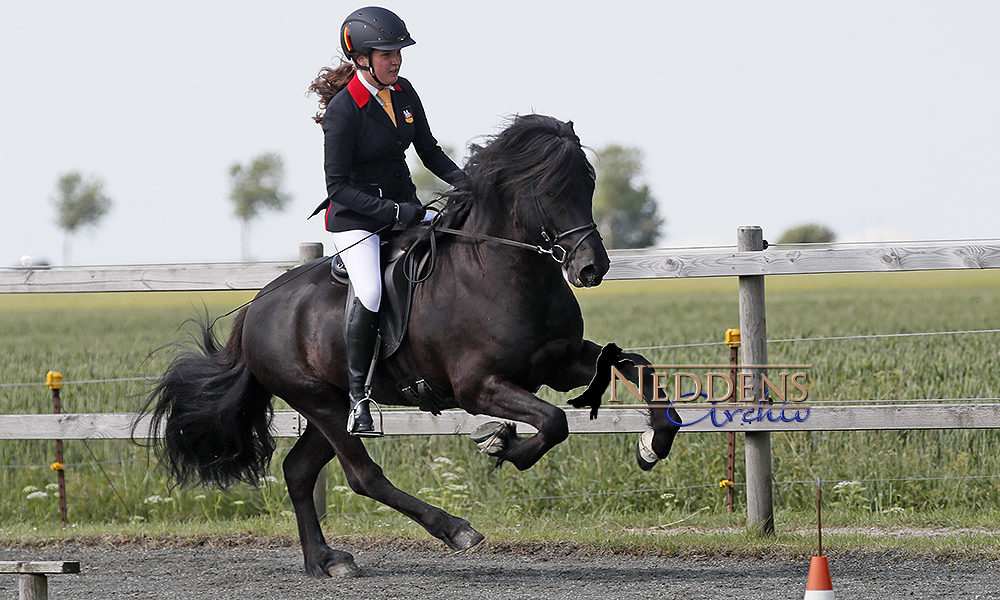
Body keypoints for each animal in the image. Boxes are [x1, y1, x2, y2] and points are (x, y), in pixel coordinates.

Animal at [141, 115, 684, 580]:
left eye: (588, 184)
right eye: (550, 191)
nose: (592, 268)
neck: (504, 273)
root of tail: (256, 306)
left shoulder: (560, 362)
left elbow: (638, 368)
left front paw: (652, 445)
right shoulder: (477, 387)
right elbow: (554, 422)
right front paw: (503, 445)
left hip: (327, 405)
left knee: (298, 471)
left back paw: (325, 561)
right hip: (319, 401)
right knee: (362, 476)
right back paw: (454, 530)